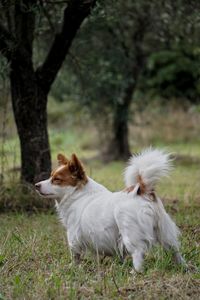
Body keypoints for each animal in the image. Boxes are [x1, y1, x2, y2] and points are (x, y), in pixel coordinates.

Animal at [34, 148, 186, 272]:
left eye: (56, 180)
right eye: (50, 176)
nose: (36, 185)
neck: (78, 194)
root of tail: (142, 191)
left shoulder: (73, 235)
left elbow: (75, 255)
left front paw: (73, 267)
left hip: (130, 233)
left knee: (138, 252)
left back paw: (135, 272)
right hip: (164, 232)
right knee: (175, 250)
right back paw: (183, 266)